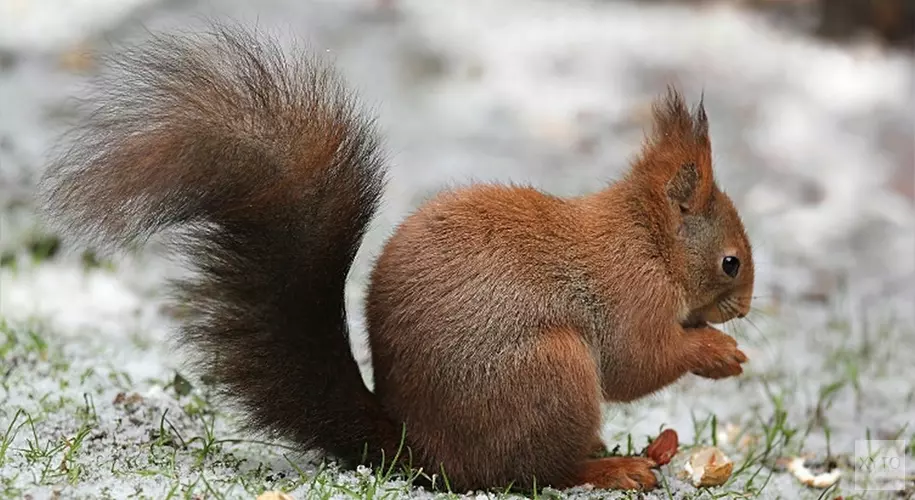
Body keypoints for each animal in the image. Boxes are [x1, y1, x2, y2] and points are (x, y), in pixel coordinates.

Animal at [39, 24, 756, 492]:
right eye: (731, 262)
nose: (746, 308)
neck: (649, 240)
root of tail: (422, 453)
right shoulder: (628, 293)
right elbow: (638, 362)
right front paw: (715, 352)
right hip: (548, 373)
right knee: (531, 475)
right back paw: (609, 466)